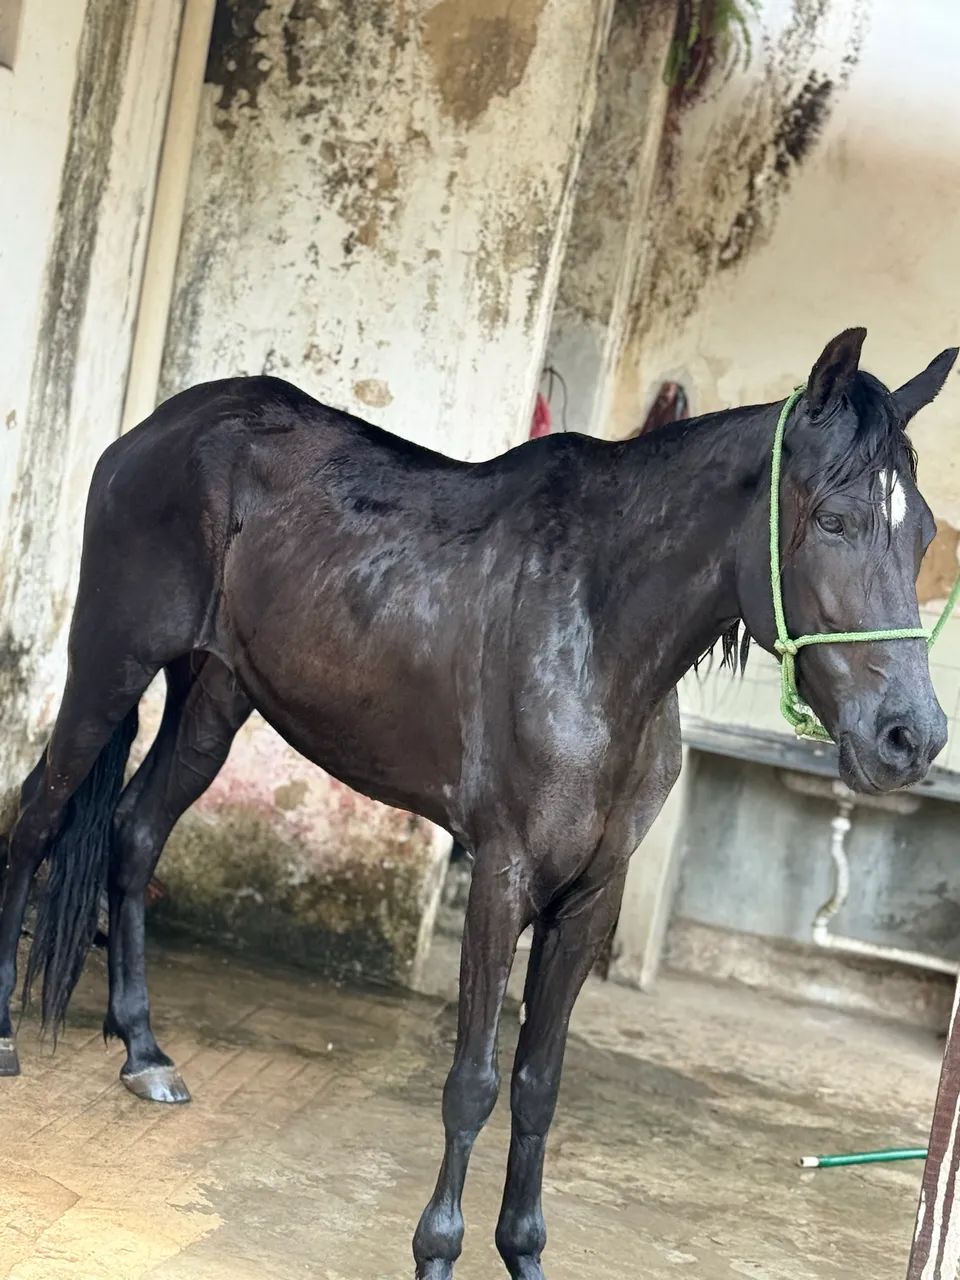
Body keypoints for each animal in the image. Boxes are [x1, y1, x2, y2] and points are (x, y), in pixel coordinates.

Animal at [0, 326, 954, 1279]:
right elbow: (474, 1083)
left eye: (923, 535)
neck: (600, 630)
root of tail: (162, 428)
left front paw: (523, 1251)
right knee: (36, 819)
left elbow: (539, 1086)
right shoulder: (503, 877)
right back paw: (11, 1036)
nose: (912, 737)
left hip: (213, 697)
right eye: (833, 520)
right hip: (109, 665)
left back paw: (144, 1051)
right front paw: (437, 1252)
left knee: (134, 831)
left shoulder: (591, 899)